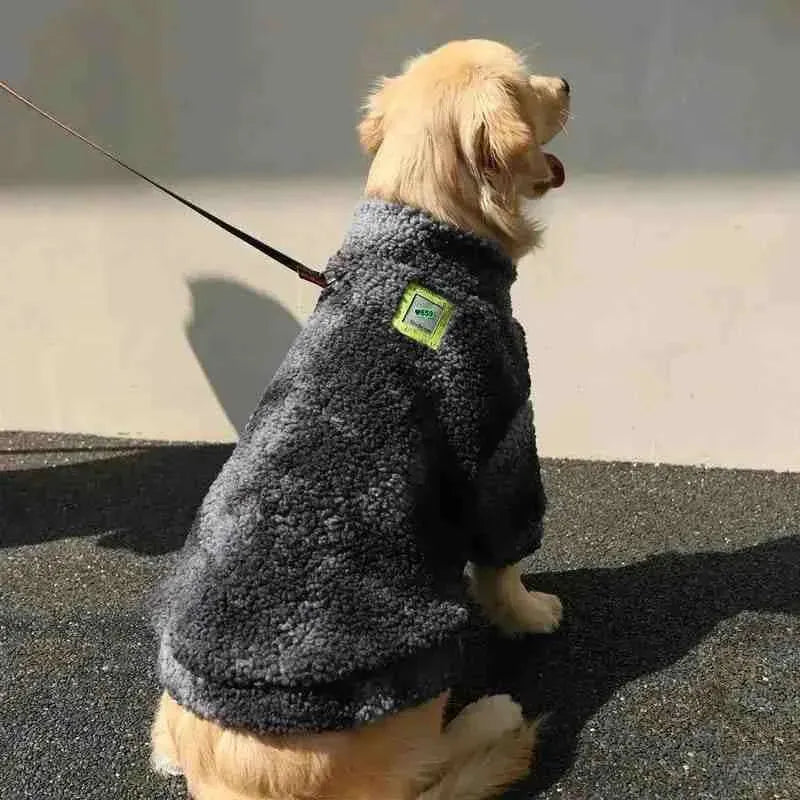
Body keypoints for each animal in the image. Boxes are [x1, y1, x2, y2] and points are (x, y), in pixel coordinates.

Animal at [150, 39, 568, 800]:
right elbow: (503, 565)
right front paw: (530, 613)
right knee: (427, 766)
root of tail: (228, 780)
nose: (569, 83)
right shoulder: (501, 441)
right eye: (530, 86)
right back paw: (491, 715)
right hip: (410, 681)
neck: (420, 238)